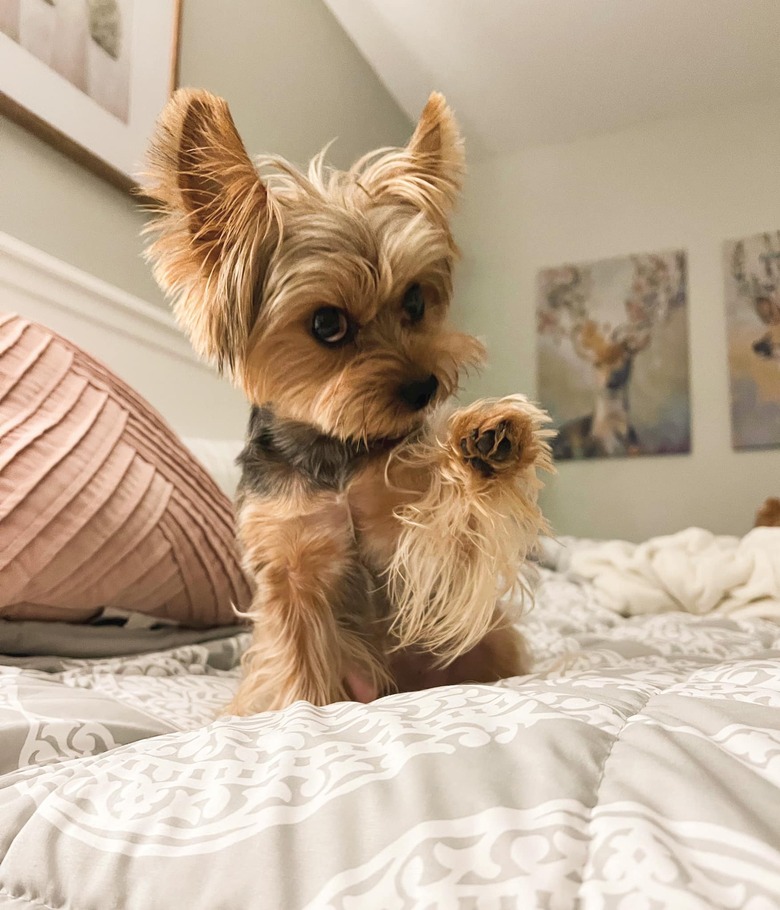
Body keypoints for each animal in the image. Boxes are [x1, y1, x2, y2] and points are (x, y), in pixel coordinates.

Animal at [142, 89, 556, 716]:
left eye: (415, 303)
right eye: (327, 324)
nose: (425, 388)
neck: (334, 449)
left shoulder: (414, 539)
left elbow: (453, 529)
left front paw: (487, 440)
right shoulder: (288, 565)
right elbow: (300, 662)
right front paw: (304, 707)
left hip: (492, 640)